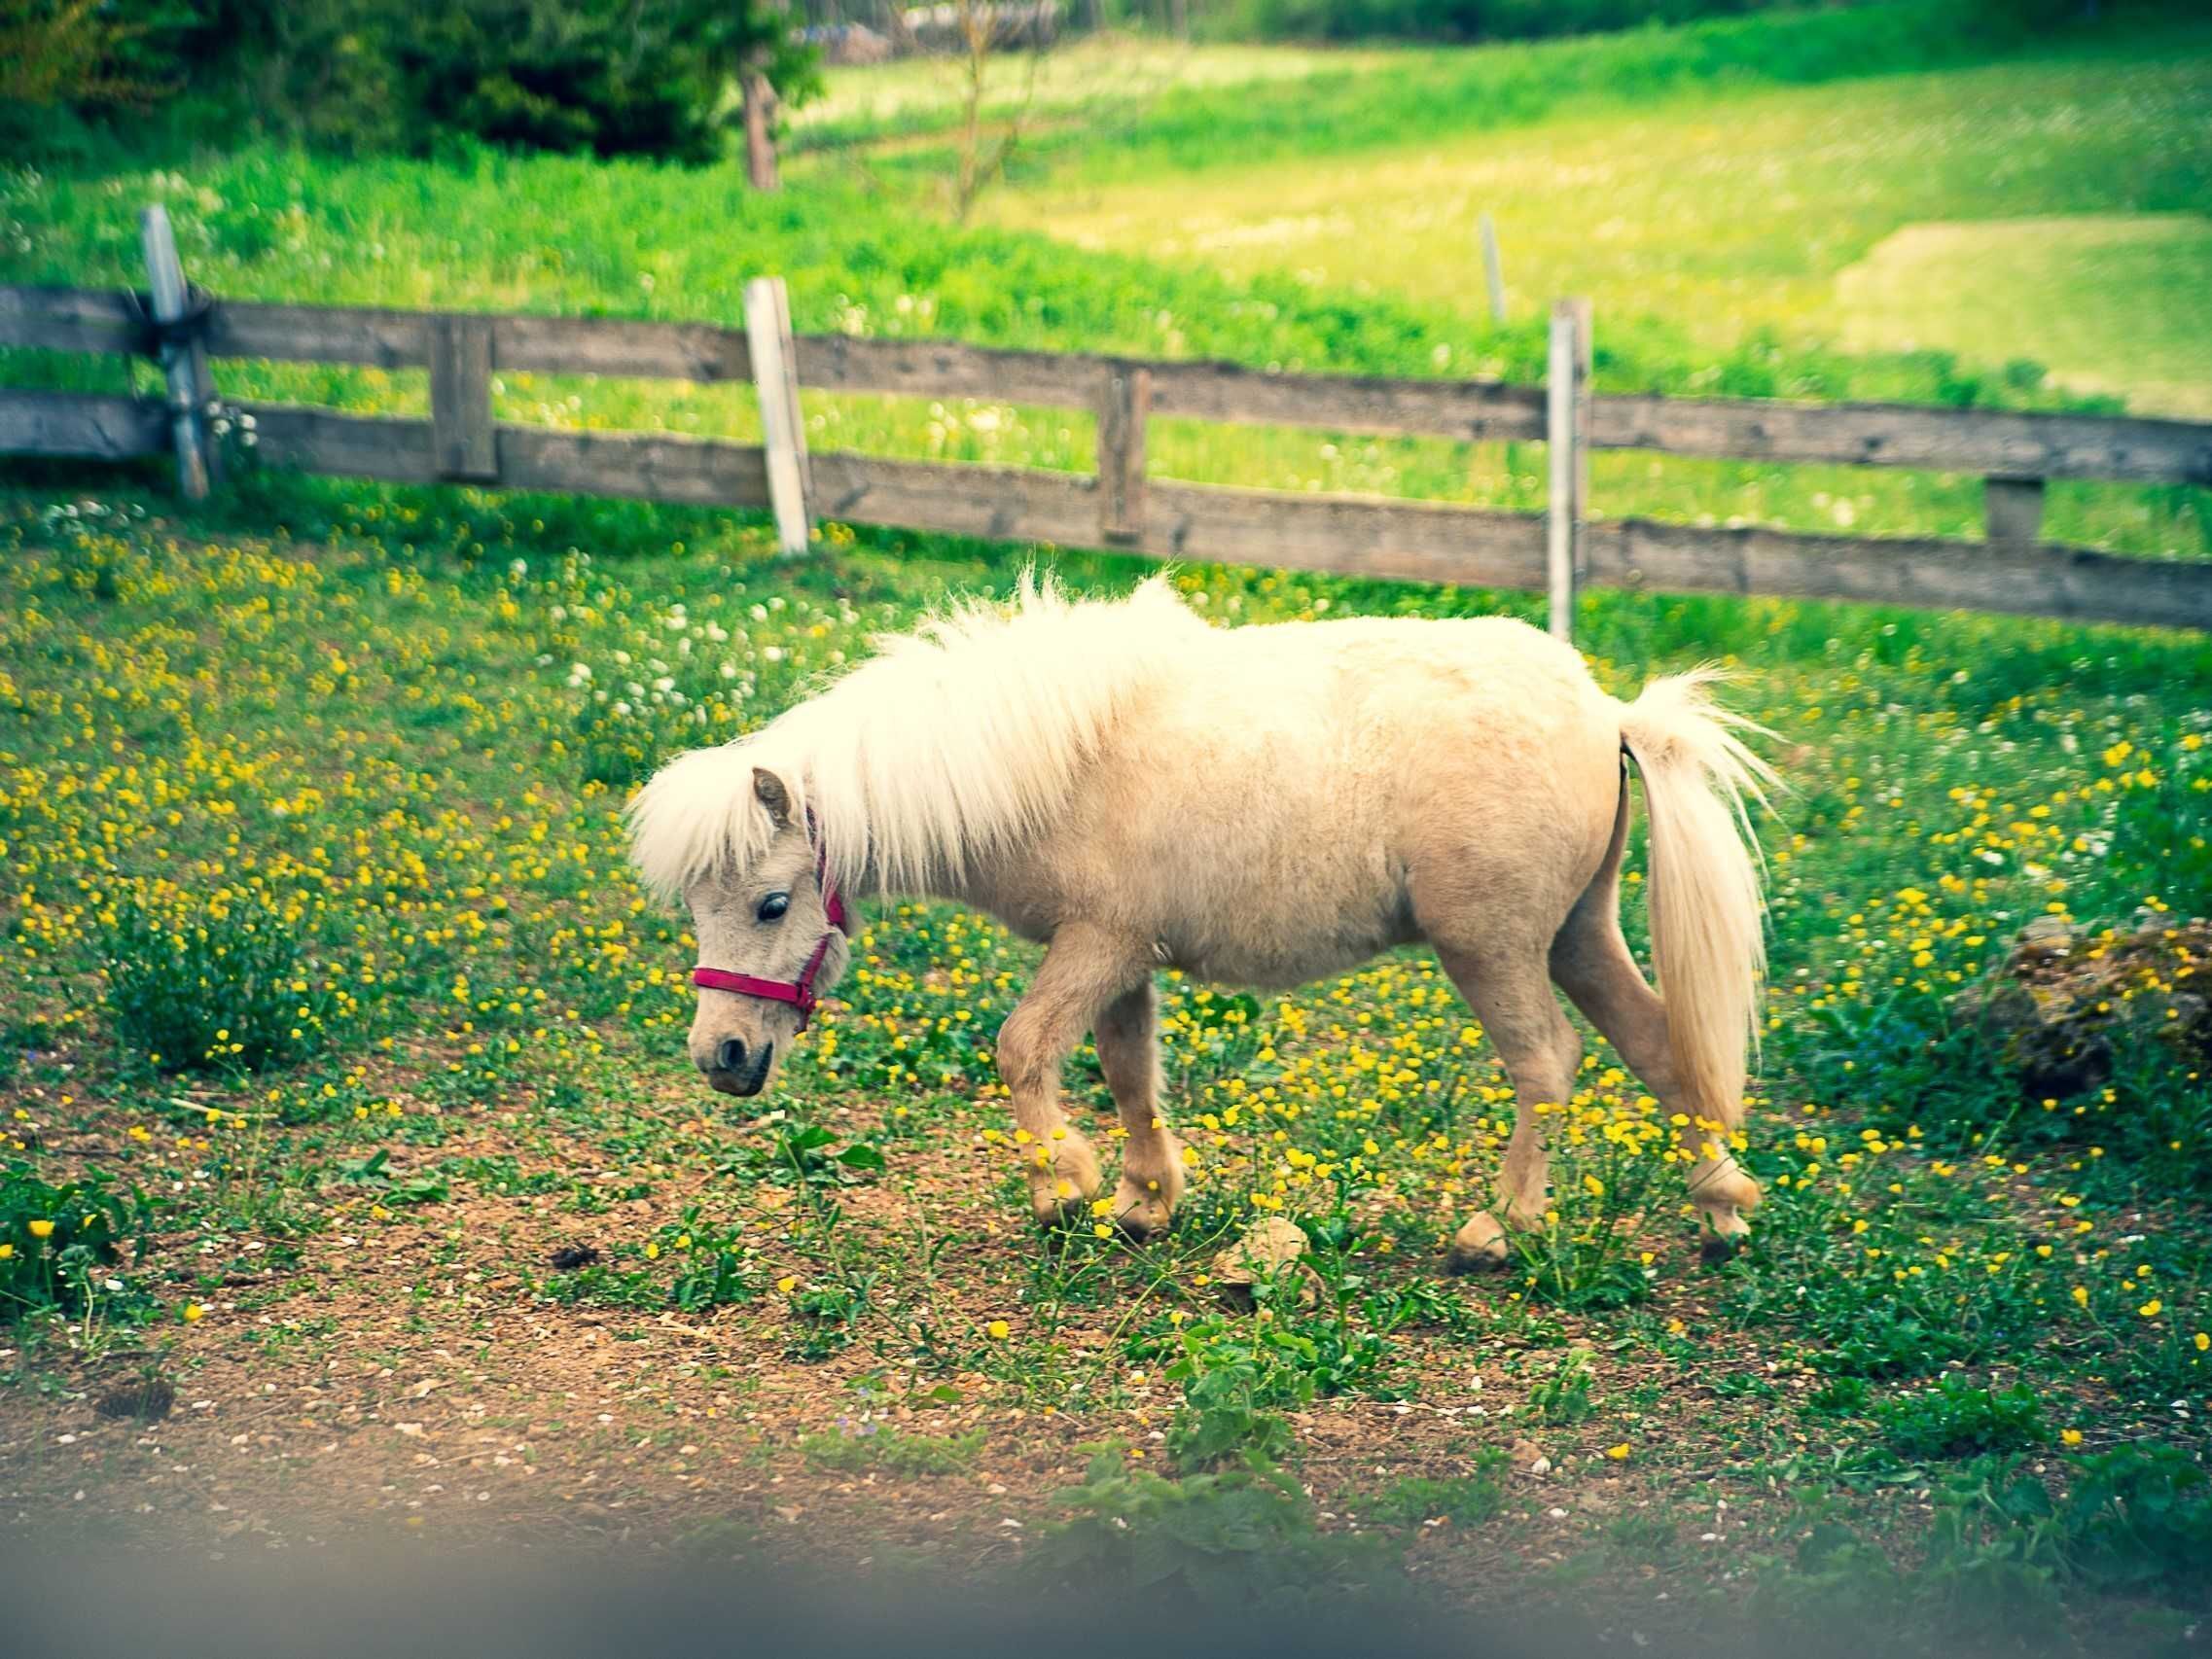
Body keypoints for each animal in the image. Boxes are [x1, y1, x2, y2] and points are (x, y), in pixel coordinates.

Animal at [628, 575, 1774, 1268]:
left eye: (772, 902)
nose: (721, 1055)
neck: (1055, 759)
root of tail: (1608, 711)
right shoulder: (1119, 958)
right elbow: (1130, 1074)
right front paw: (1144, 1200)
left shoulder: (1095, 946)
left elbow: (1022, 1049)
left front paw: (1062, 1188)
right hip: (1578, 934)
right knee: (1662, 1047)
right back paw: (1720, 1205)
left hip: (1491, 949)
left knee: (1549, 1066)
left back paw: (1501, 1228)